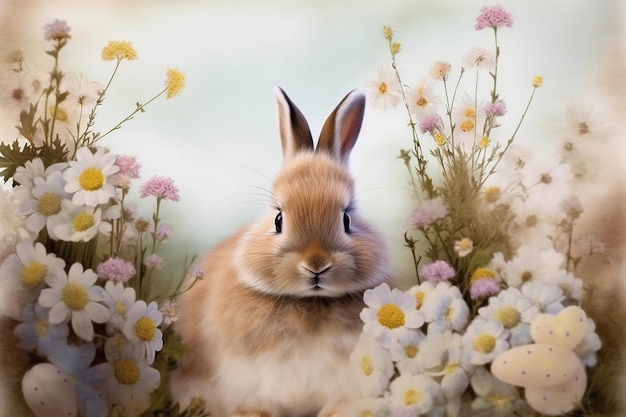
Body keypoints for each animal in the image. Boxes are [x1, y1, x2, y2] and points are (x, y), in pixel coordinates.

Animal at [168, 86, 392, 414]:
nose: (316, 264)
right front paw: (253, 414)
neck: (310, 303)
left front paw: (338, 412)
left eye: (347, 219)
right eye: (278, 219)